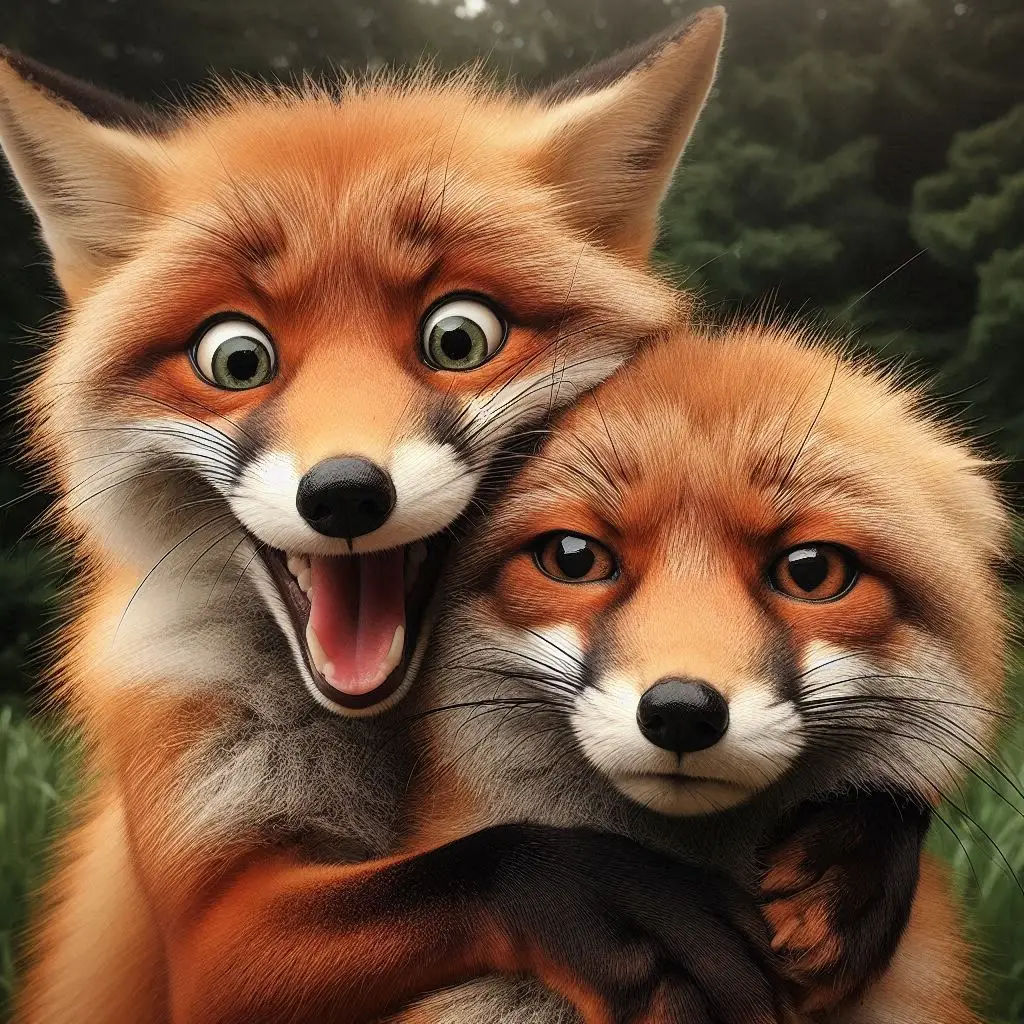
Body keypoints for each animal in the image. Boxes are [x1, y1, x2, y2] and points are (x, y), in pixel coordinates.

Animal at [0, 13, 807, 1024]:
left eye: (458, 337)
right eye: (236, 358)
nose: (345, 494)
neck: (386, 736)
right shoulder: (208, 936)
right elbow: (474, 866)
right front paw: (616, 894)